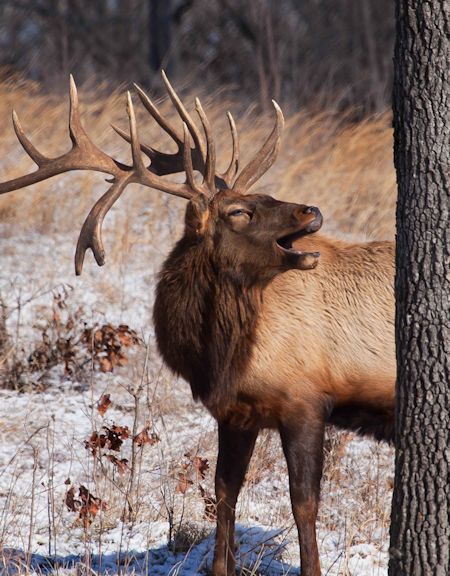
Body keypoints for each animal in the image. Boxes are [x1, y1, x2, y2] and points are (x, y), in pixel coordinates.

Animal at [0, 74, 394, 572]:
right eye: (240, 210)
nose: (312, 210)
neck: (218, 357)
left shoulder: (305, 398)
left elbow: (304, 503)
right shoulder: (237, 411)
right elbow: (225, 492)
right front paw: (222, 566)